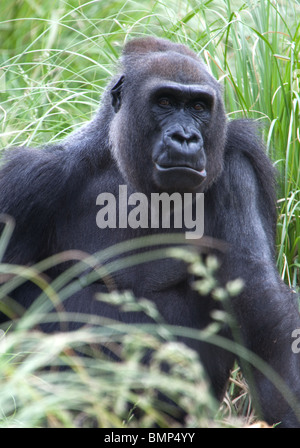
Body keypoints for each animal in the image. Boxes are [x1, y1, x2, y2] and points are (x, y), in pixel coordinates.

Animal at [0, 36, 300, 426]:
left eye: (199, 106)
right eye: (165, 102)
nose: (185, 137)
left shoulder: (237, 163)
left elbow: (261, 305)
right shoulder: (27, 182)